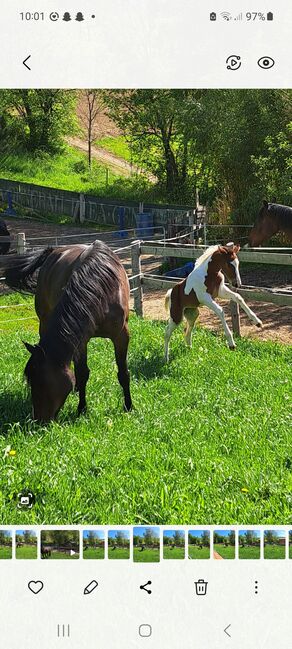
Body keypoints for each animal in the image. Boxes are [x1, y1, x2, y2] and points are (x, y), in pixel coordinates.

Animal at [0, 239, 132, 420]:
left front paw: (128, 407)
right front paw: (82, 409)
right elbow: (82, 373)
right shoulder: (81, 340)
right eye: (30, 381)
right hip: (45, 321)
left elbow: (123, 373)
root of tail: (53, 251)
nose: (38, 419)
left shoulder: (121, 336)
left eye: (42, 380)